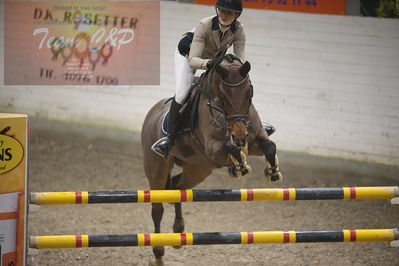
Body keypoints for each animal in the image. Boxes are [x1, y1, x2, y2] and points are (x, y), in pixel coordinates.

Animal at [142, 54, 282, 266]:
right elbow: (231, 148)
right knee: (157, 208)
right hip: (157, 169)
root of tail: (151, 113)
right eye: (223, 97)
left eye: (249, 91)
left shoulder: (255, 140)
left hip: (197, 169)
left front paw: (272, 171)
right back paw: (158, 254)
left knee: (177, 187)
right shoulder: (213, 150)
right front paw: (239, 167)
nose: (239, 135)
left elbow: (270, 146)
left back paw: (178, 232)